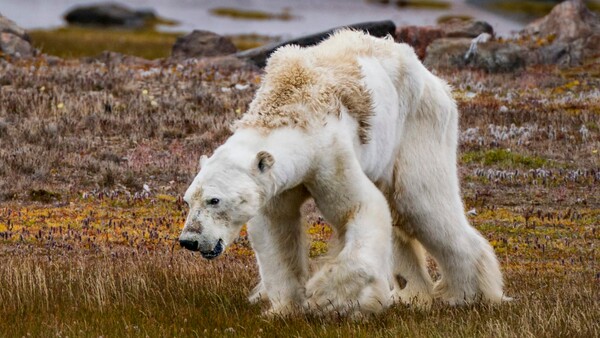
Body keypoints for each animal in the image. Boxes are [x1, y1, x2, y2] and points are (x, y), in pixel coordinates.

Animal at [178, 29, 506, 316]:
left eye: (215, 200)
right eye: (188, 200)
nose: (189, 240)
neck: (290, 106)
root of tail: (436, 81)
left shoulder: (329, 154)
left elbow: (361, 208)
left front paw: (327, 297)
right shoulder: (277, 183)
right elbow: (275, 229)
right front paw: (283, 308)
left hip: (418, 126)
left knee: (421, 204)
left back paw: (466, 294)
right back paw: (412, 294)